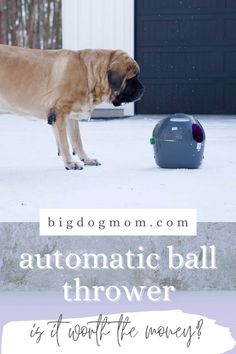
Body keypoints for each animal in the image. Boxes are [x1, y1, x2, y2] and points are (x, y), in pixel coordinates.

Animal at [0, 44, 144, 170]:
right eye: (133, 78)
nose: (143, 90)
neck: (87, 73)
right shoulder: (60, 112)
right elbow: (64, 143)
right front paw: (70, 163)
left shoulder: (71, 116)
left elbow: (77, 140)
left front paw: (87, 159)